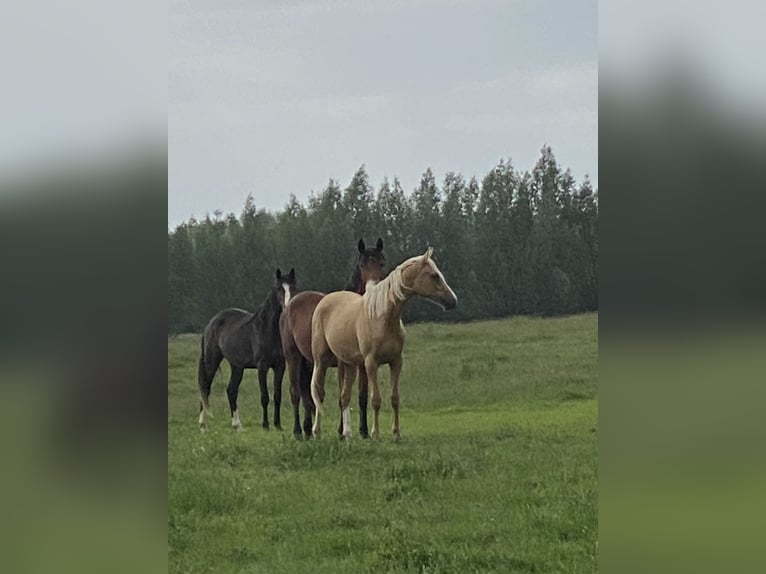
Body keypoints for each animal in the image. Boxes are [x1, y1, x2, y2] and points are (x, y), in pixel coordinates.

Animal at [198, 270, 296, 432]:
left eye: (293, 287)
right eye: (278, 288)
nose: (288, 307)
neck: (267, 329)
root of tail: (211, 323)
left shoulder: (279, 366)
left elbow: (277, 396)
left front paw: (278, 425)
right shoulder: (262, 367)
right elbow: (265, 397)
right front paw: (265, 425)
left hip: (237, 366)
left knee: (231, 391)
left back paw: (237, 426)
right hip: (211, 361)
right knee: (205, 388)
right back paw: (203, 425)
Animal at [280, 241, 388, 438]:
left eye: (381, 263)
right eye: (362, 265)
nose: (373, 288)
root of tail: (290, 305)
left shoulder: (363, 363)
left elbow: (361, 395)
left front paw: (364, 431)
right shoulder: (342, 363)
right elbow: (342, 394)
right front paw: (342, 431)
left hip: (309, 362)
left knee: (308, 393)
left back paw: (308, 428)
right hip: (293, 357)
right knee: (295, 392)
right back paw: (298, 430)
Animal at [310, 248, 456, 440]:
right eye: (434, 275)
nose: (453, 301)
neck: (382, 317)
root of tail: (324, 301)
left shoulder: (396, 362)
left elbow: (395, 398)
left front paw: (396, 434)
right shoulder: (371, 363)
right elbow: (376, 399)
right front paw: (375, 434)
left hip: (349, 364)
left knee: (345, 396)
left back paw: (347, 434)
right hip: (321, 360)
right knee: (319, 392)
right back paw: (316, 431)